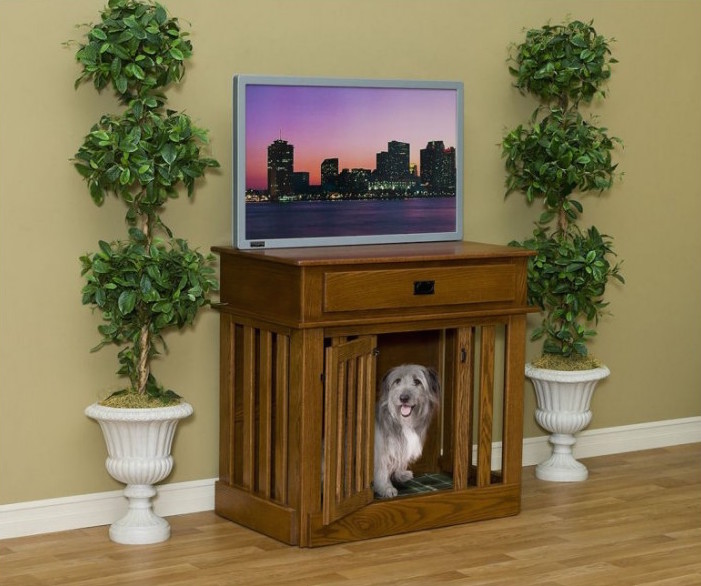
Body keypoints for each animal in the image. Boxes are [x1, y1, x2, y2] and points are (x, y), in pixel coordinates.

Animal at [372, 362, 438, 496]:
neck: (402, 421)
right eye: (397, 381)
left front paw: (400, 474)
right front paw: (385, 488)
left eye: (417, 381)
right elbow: (382, 468)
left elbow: (400, 457)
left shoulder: (400, 445)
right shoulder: (380, 449)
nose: (403, 398)